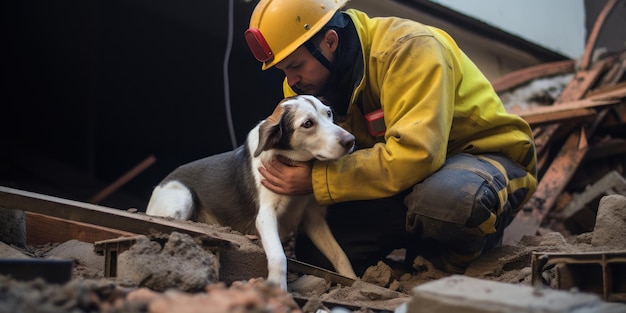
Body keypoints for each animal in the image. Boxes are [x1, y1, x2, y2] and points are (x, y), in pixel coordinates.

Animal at [143, 94, 354, 288]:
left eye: (329, 113)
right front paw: (278, 289)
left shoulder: (313, 219)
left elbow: (340, 255)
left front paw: (355, 282)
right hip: (183, 196)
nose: (351, 140)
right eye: (307, 123)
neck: (289, 159)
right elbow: (278, 256)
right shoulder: (265, 216)